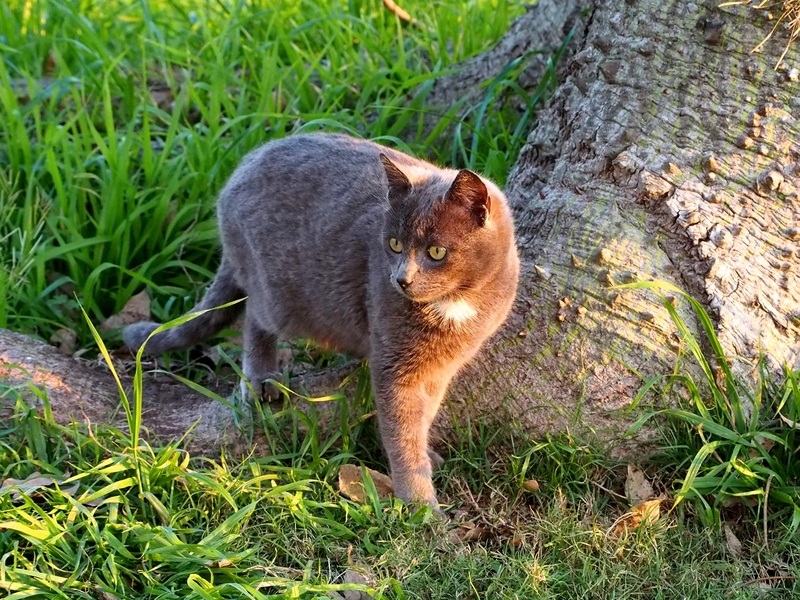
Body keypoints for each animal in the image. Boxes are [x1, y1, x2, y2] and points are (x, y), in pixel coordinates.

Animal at [124, 134, 520, 512]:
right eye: (393, 244)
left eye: (436, 252)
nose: (400, 279)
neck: (455, 305)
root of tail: (243, 168)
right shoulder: (395, 365)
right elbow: (401, 429)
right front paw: (421, 506)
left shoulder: (441, 367)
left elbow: (424, 414)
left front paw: (427, 457)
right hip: (276, 292)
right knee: (255, 315)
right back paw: (261, 377)